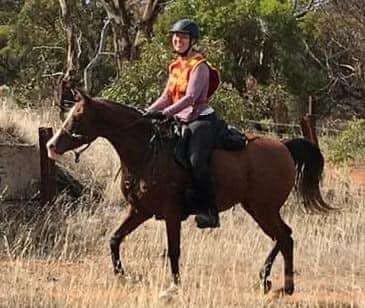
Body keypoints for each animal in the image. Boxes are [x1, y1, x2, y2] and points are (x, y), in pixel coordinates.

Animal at [47, 82, 328, 296]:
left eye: (77, 117)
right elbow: (115, 239)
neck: (146, 152)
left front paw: (174, 286)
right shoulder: (139, 210)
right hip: (257, 208)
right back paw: (268, 280)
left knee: (284, 237)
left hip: (263, 209)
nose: (51, 146)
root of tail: (284, 147)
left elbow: (173, 251)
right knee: (284, 236)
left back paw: (282, 285)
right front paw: (121, 275)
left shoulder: (171, 214)